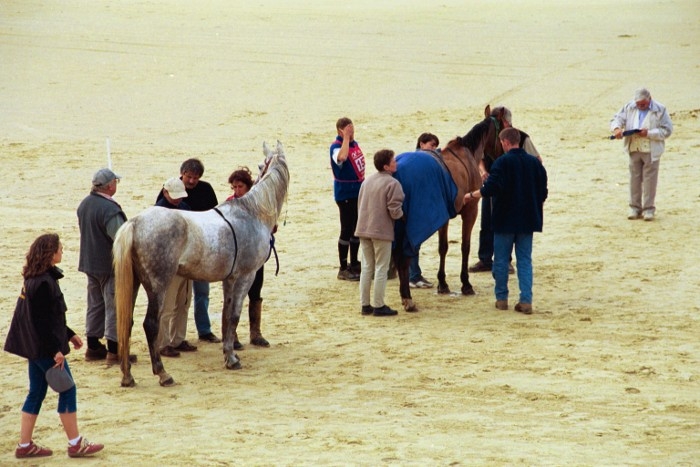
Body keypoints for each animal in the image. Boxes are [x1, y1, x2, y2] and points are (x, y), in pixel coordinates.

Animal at [113, 141, 289, 387]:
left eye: (260, 165)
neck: (252, 213)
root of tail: (135, 223)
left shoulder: (229, 279)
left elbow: (226, 316)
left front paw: (229, 353)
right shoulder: (246, 276)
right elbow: (234, 315)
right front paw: (232, 360)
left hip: (135, 283)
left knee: (126, 323)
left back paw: (127, 376)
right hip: (158, 286)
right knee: (150, 325)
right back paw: (163, 374)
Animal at [393, 105, 505, 311]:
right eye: (503, 129)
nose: (503, 153)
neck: (467, 153)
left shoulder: (443, 216)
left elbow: (443, 247)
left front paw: (443, 284)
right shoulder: (470, 211)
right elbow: (465, 247)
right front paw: (466, 284)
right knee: (403, 256)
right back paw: (407, 297)